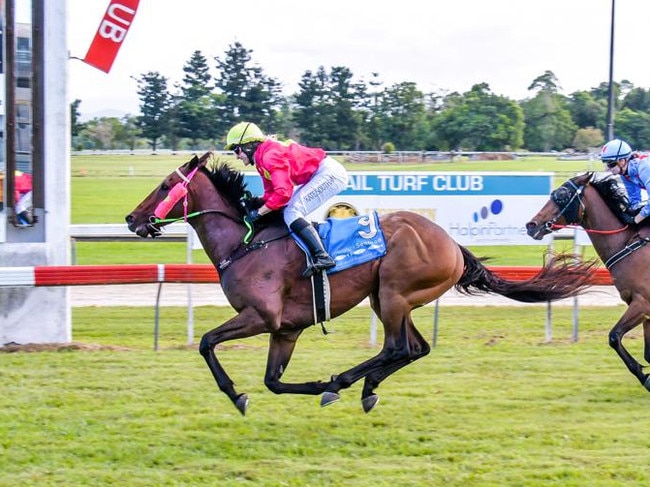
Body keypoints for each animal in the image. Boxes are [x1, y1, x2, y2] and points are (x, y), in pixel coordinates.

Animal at [124, 152, 596, 416]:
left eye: (165, 186)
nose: (131, 219)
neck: (244, 244)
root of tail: (453, 245)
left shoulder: (262, 316)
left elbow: (207, 342)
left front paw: (240, 394)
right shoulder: (286, 329)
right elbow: (273, 380)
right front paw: (296, 389)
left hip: (392, 293)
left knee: (396, 347)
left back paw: (345, 382)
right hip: (391, 300)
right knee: (415, 348)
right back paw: (364, 388)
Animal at [524, 172, 648, 392]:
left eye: (562, 194)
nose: (531, 225)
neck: (627, 244)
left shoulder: (642, 303)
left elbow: (614, 336)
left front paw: (645, 378)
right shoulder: (641, 307)